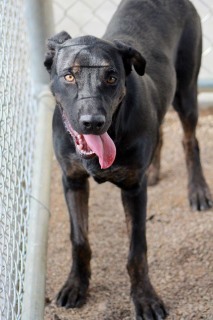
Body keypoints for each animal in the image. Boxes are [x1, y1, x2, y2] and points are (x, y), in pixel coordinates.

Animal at [44, 1, 212, 318]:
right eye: (69, 76)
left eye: (111, 77)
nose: (93, 122)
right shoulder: (72, 180)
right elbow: (79, 239)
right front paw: (76, 285)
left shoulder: (134, 189)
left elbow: (137, 249)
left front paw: (145, 298)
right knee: (160, 130)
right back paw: (155, 170)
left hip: (186, 90)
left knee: (189, 141)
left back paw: (198, 190)